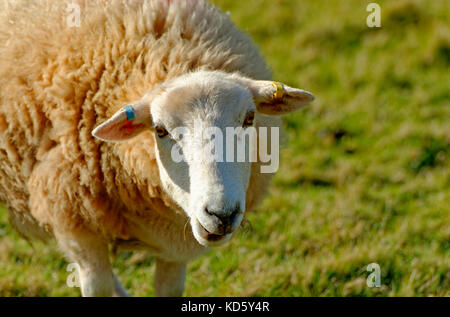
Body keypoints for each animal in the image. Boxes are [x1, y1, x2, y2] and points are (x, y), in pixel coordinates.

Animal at [0, 0, 312, 296]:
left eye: (249, 119)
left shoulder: (176, 244)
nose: (221, 215)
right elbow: (97, 287)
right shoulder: (75, 222)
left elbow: (169, 289)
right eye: (160, 130)